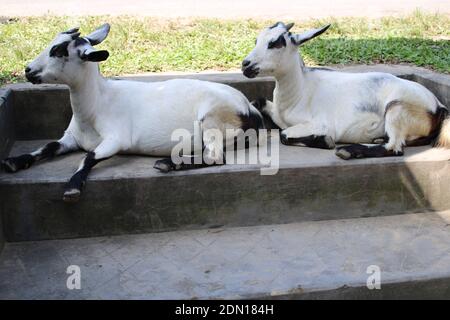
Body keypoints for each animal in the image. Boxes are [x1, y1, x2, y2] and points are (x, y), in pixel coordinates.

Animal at [1, 23, 264, 201]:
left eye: (58, 51)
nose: (28, 70)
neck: (97, 106)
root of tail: (250, 110)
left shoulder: (117, 139)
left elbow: (89, 156)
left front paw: (72, 187)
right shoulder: (71, 138)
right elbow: (47, 147)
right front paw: (13, 162)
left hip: (212, 118)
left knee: (215, 156)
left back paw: (167, 164)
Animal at [243, 21, 450, 159]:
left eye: (275, 43)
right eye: (256, 40)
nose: (246, 65)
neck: (301, 91)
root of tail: (438, 106)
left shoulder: (322, 123)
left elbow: (285, 135)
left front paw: (325, 141)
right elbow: (258, 102)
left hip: (397, 107)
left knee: (395, 148)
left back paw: (349, 151)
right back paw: (376, 139)